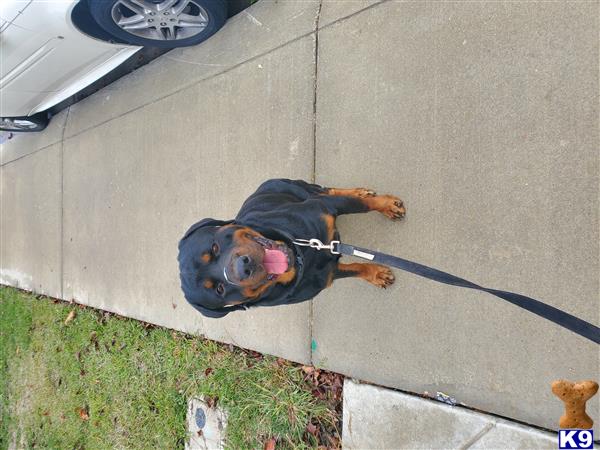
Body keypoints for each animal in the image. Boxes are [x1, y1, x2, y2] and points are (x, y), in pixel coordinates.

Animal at [176, 178, 406, 318]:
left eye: (214, 247)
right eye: (220, 289)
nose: (244, 267)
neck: (301, 256)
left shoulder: (324, 207)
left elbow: (363, 205)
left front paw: (387, 206)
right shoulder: (328, 273)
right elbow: (355, 269)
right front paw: (376, 274)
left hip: (295, 187)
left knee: (325, 190)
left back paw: (360, 192)